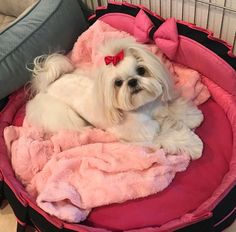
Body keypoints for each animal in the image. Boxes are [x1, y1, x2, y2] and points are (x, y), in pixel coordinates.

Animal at [25, 38, 203, 160]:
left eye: (141, 70)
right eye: (118, 83)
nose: (132, 81)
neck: (142, 108)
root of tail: (49, 84)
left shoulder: (159, 107)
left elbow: (176, 110)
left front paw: (193, 116)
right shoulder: (148, 135)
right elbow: (171, 136)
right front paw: (194, 146)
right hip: (65, 116)